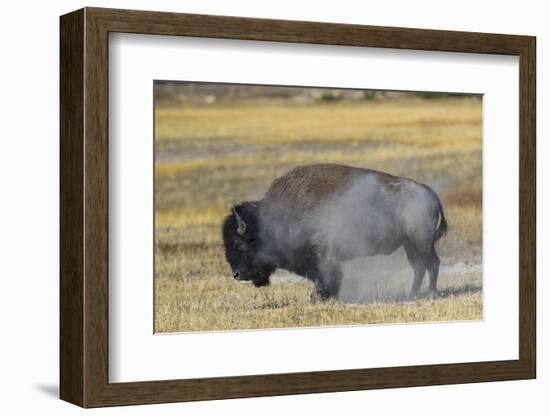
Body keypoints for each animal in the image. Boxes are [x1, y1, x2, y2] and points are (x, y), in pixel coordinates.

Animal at [223, 163, 448, 302]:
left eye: (239, 244)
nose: (236, 274)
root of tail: (429, 193)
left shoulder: (324, 255)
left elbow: (327, 276)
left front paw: (317, 298)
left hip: (421, 243)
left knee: (432, 264)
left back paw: (431, 294)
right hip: (409, 244)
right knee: (419, 267)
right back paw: (412, 295)